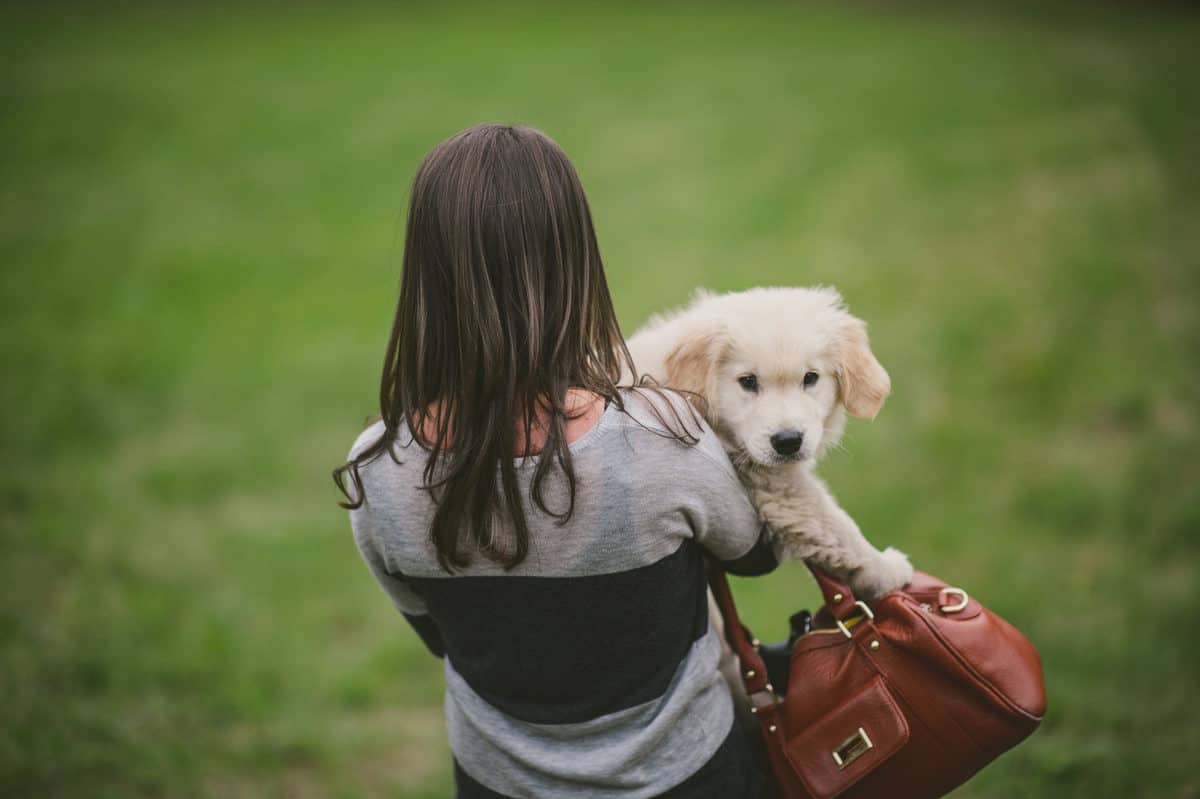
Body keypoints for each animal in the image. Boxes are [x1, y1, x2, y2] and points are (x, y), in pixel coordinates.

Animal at [624, 286, 912, 597]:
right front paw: (885, 568)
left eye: (810, 378)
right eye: (748, 381)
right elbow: (832, 521)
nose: (788, 442)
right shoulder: (776, 486)